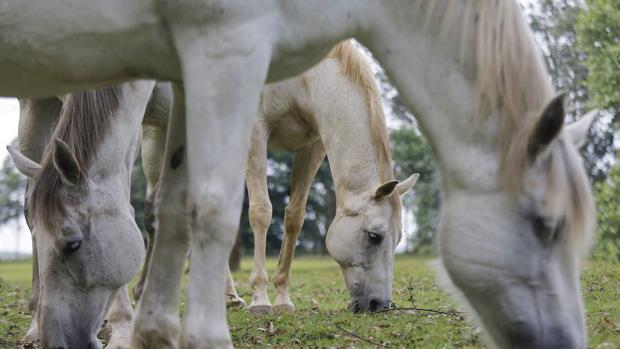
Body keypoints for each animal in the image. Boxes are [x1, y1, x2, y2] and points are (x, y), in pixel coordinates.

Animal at [133, 40, 418, 312]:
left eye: (399, 239)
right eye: (374, 236)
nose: (379, 304)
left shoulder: (311, 147)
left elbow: (294, 218)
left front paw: (282, 299)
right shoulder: (255, 132)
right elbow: (261, 212)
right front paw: (261, 300)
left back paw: (228, 297)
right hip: (154, 136)